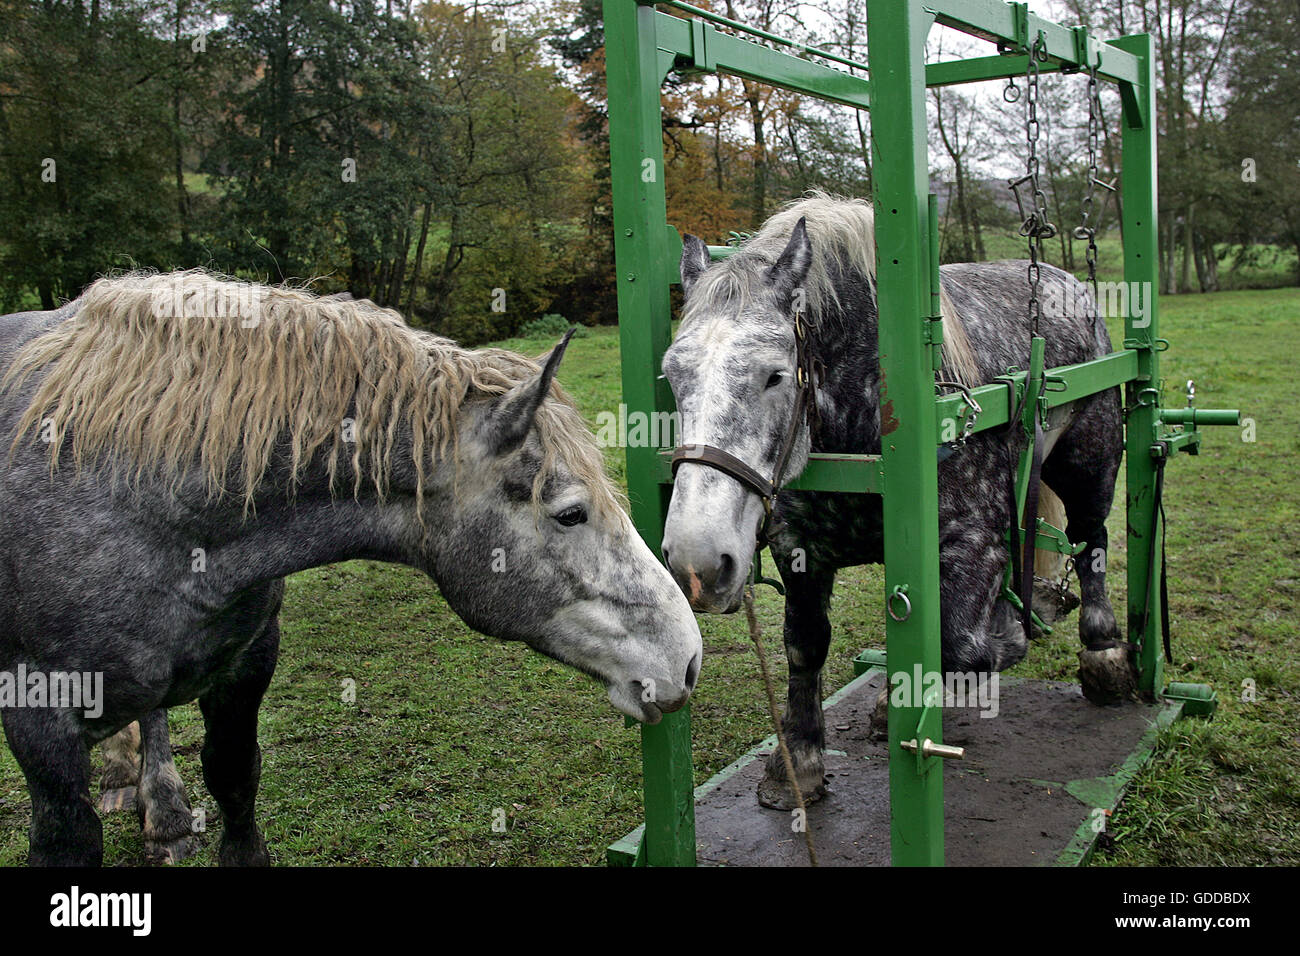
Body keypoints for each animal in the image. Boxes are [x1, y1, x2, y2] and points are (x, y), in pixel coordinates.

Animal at [0, 271, 702, 865]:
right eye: (570, 514)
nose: (688, 657)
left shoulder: (247, 666)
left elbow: (234, 779)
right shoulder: (37, 714)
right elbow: (67, 836)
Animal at [660, 192, 1130, 809]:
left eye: (774, 376)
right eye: (671, 375)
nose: (698, 561)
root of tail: (1063, 281)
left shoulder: (970, 542)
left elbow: (961, 648)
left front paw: (1001, 642)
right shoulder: (798, 548)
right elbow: (805, 645)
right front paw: (799, 762)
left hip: (1088, 462)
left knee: (1091, 537)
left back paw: (1102, 650)